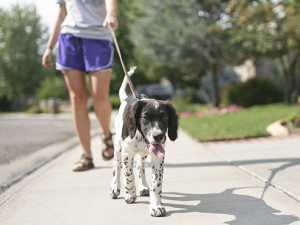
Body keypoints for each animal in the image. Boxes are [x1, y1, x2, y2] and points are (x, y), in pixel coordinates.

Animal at [110, 68, 179, 216]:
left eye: (165, 117)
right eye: (145, 117)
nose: (159, 136)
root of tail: (126, 98)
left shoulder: (158, 156)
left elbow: (156, 183)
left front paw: (156, 205)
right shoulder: (127, 154)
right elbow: (128, 175)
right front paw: (130, 194)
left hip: (144, 153)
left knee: (139, 166)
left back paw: (143, 187)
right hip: (118, 148)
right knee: (116, 166)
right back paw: (115, 188)